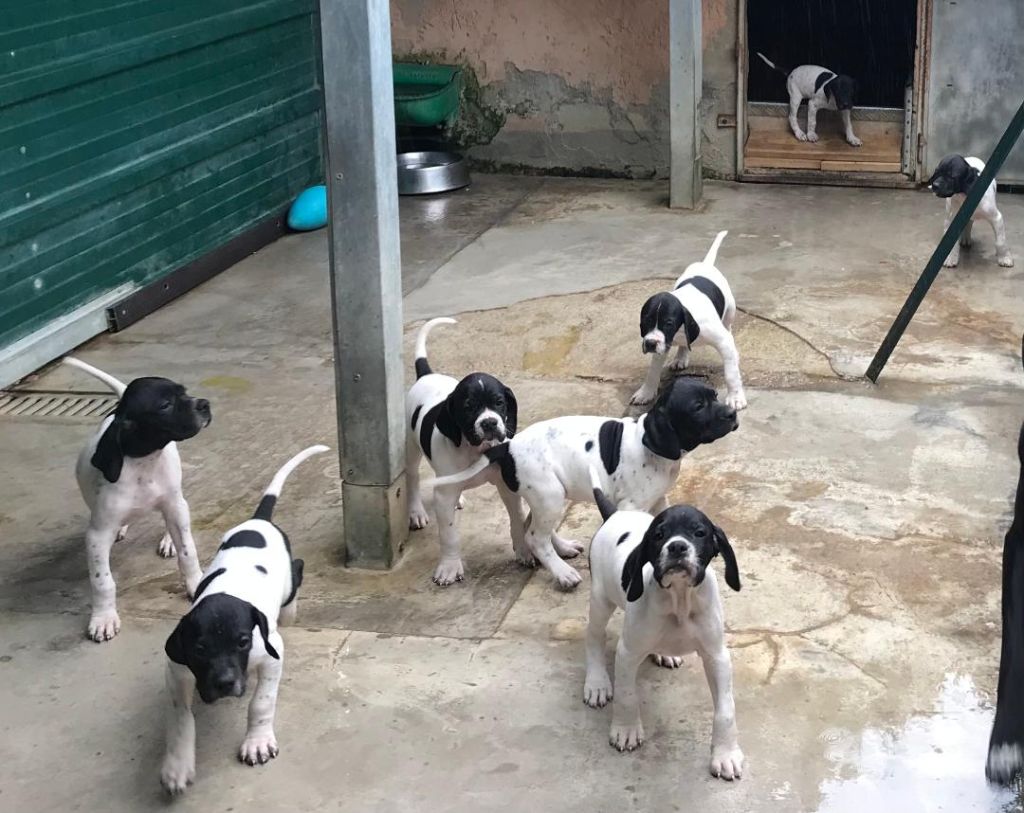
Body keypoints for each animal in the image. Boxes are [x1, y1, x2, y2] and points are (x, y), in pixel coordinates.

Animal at [64, 354, 211, 638]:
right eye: (165, 405)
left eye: (184, 392)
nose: (205, 404)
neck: (144, 464)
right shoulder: (97, 535)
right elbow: (102, 581)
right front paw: (103, 618)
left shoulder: (173, 505)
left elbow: (188, 552)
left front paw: (195, 583)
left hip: (176, 499)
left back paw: (169, 540)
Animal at [159, 444, 327, 790]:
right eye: (199, 649)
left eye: (242, 642)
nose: (225, 683)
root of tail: (258, 521)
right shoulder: (176, 669)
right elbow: (180, 717)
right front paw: (178, 764)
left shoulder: (272, 653)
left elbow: (261, 702)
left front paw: (257, 742)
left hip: (289, 583)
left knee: (298, 569)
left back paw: (289, 610)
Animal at [428, 374, 741, 589]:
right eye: (698, 406)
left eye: (715, 395)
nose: (732, 414)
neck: (650, 445)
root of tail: (508, 445)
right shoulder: (631, 505)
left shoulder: (658, 499)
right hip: (550, 495)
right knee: (535, 537)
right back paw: (562, 573)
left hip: (545, 496)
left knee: (530, 525)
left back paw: (563, 548)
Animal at [585, 464, 745, 774]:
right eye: (659, 535)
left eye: (699, 532)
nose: (677, 547)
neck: (679, 599)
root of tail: (614, 514)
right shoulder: (627, 652)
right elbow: (627, 695)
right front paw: (625, 730)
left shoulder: (717, 656)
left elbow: (726, 711)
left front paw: (726, 754)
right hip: (600, 600)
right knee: (594, 638)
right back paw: (596, 683)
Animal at [626, 228, 749, 409]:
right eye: (646, 321)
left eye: (668, 323)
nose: (649, 344)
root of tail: (705, 264)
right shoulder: (663, 343)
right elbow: (653, 371)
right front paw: (646, 392)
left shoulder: (723, 342)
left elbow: (731, 373)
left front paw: (735, 397)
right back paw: (680, 357)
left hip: (729, 313)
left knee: (728, 329)